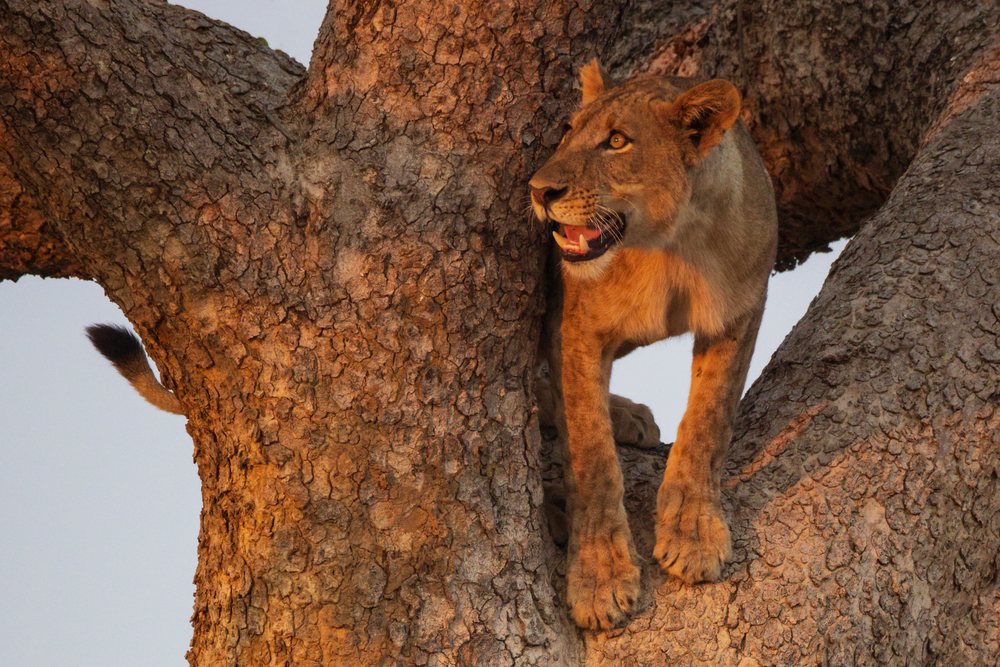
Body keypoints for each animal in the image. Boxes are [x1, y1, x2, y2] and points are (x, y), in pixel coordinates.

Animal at [530, 60, 777, 630]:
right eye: (568, 130)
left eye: (617, 141)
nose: (538, 190)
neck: (668, 248)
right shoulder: (575, 329)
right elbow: (591, 455)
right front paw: (599, 577)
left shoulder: (740, 310)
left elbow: (709, 420)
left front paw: (693, 533)